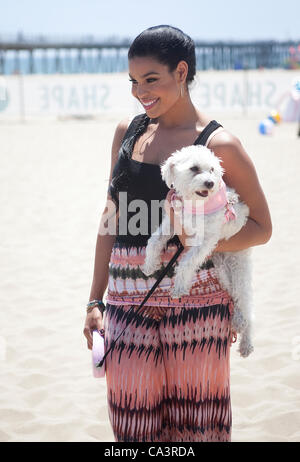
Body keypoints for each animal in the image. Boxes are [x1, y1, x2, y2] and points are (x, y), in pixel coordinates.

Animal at [142, 144, 254, 358]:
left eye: (212, 169)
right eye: (194, 168)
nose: (210, 183)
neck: (195, 205)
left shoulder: (206, 241)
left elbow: (187, 262)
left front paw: (179, 287)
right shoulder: (173, 222)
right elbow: (154, 241)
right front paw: (150, 264)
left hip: (239, 269)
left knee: (246, 303)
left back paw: (246, 340)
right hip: (222, 269)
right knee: (236, 298)